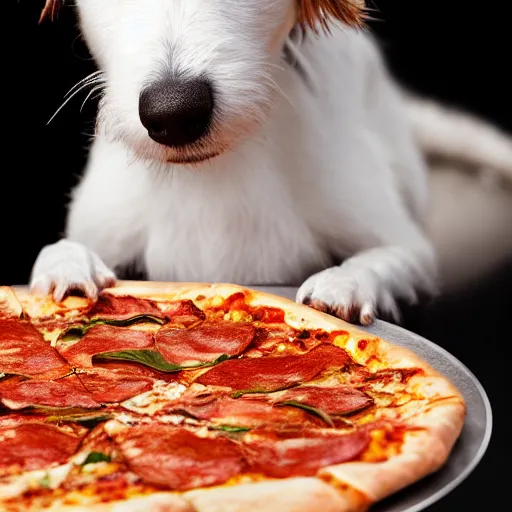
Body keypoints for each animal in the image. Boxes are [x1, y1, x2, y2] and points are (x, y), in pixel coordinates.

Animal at [31, 1, 512, 324]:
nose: (174, 114)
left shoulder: (409, 249)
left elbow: (381, 260)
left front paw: (345, 283)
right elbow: (61, 249)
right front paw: (65, 264)